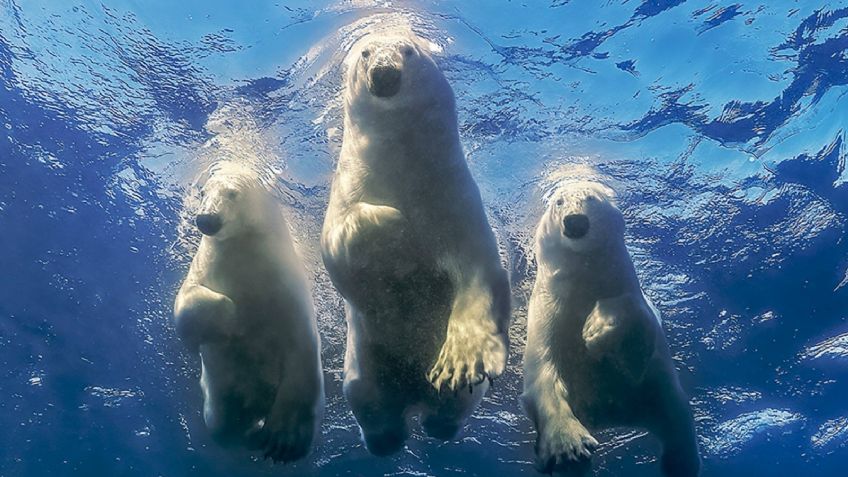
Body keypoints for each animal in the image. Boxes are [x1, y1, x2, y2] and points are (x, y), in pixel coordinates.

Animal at [173, 162, 324, 462]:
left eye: (232, 193)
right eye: (204, 191)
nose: (206, 219)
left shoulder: (289, 292)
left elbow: (301, 355)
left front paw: (285, 440)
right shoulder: (207, 266)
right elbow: (188, 300)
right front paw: (228, 322)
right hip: (219, 394)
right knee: (222, 425)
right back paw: (251, 435)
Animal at [322, 31, 510, 456]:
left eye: (408, 50)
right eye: (365, 52)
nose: (384, 72)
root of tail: (412, 396)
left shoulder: (455, 199)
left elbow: (479, 272)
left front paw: (460, 359)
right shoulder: (348, 187)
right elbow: (339, 245)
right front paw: (397, 225)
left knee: (452, 406)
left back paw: (438, 420)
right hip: (364, 364)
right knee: (368, 402)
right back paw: (389, 437)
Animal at [520, 179, 700, 476]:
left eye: (592, 198)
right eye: (559, 202)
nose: (576, 221)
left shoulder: (624, 288)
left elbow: (637, 346)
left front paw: (596, 328)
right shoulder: (546, 313)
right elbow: (543, 372)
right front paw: (569, 445)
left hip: (654, 396)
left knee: (678, 427)